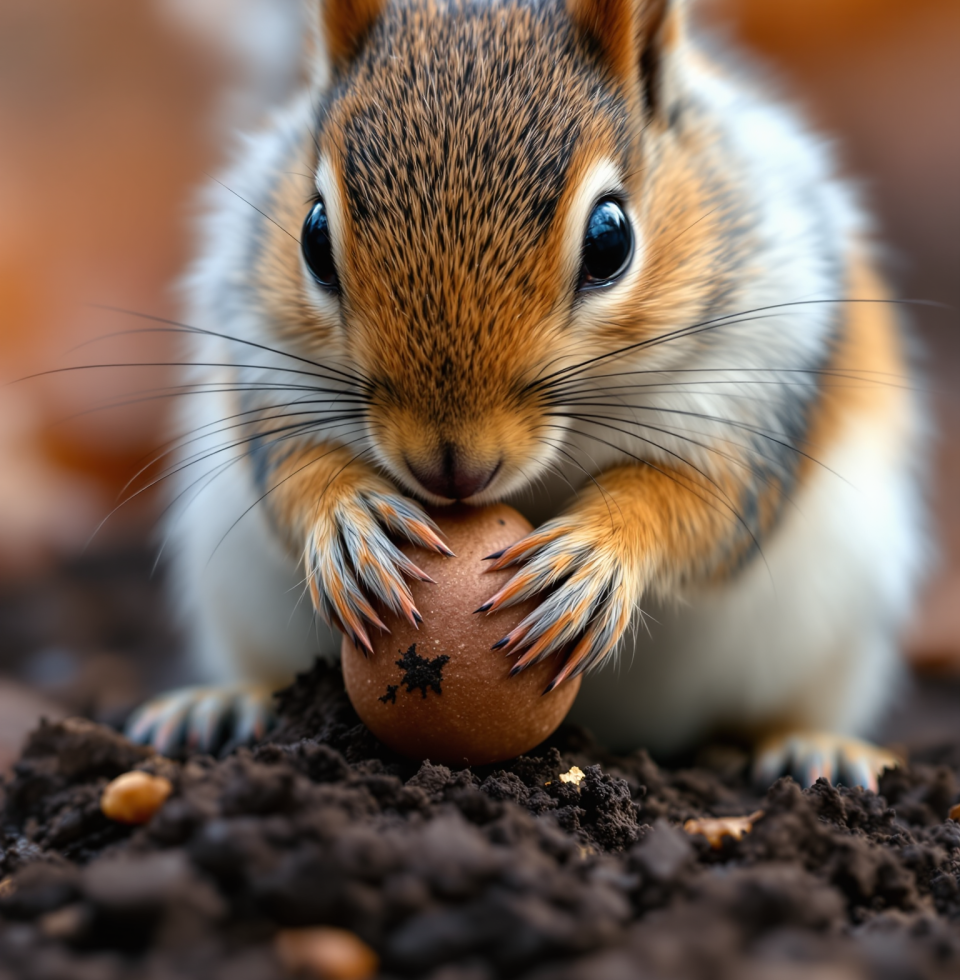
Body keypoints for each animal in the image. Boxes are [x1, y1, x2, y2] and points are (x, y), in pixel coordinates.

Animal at [127, 0, 926, 790]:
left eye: (611, 239)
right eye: (314, 237)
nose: (450, 466)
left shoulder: (761, 385)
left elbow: (701, 504)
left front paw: (593, 556)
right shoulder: (268, 369)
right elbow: (295, 469)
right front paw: (350, 521)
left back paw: (810, 747)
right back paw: (223, 705)